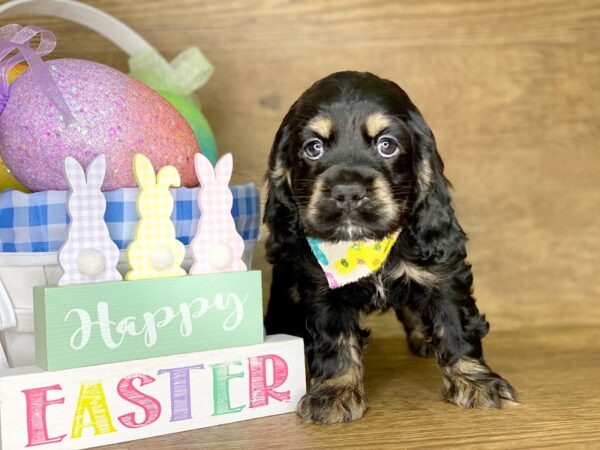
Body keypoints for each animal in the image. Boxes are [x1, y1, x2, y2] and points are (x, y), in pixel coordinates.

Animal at [262, 71, 516, 426]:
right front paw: (334, 393)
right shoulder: (321, 287)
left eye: (387, 145)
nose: (348, 192)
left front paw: (475, 381)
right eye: (313, 148)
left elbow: (456, 326)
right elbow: (334, 339)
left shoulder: (443, 272)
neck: (366, 243)